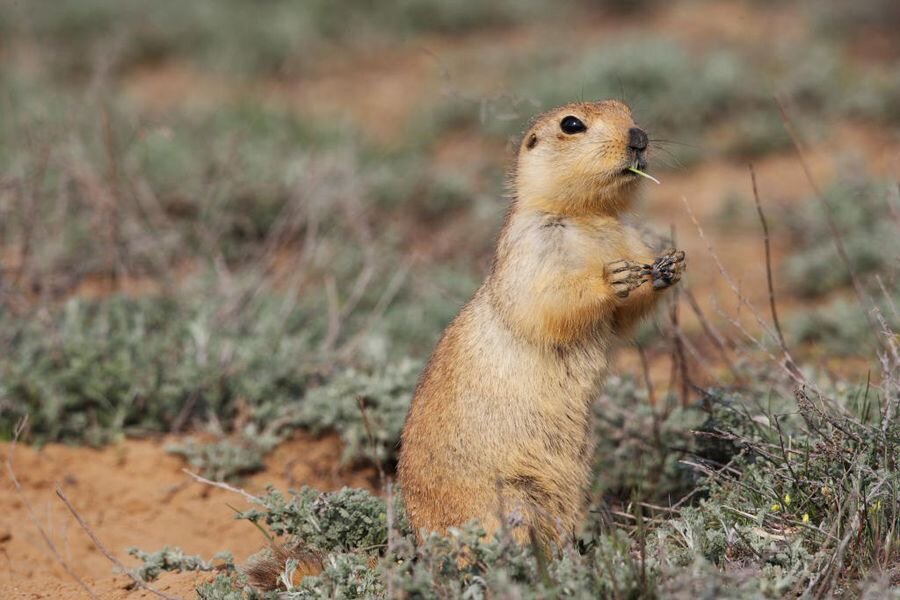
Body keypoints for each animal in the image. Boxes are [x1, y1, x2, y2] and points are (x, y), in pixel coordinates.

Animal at [398, 99, 684, 548]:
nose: (639, 136)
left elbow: (622, 319)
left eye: (627, 110)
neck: (589, 216)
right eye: (572, 124)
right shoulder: (533, 244)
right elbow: (543, 300)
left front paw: (668, 267)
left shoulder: (630, 237)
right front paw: (612, 278)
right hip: (505, 499)